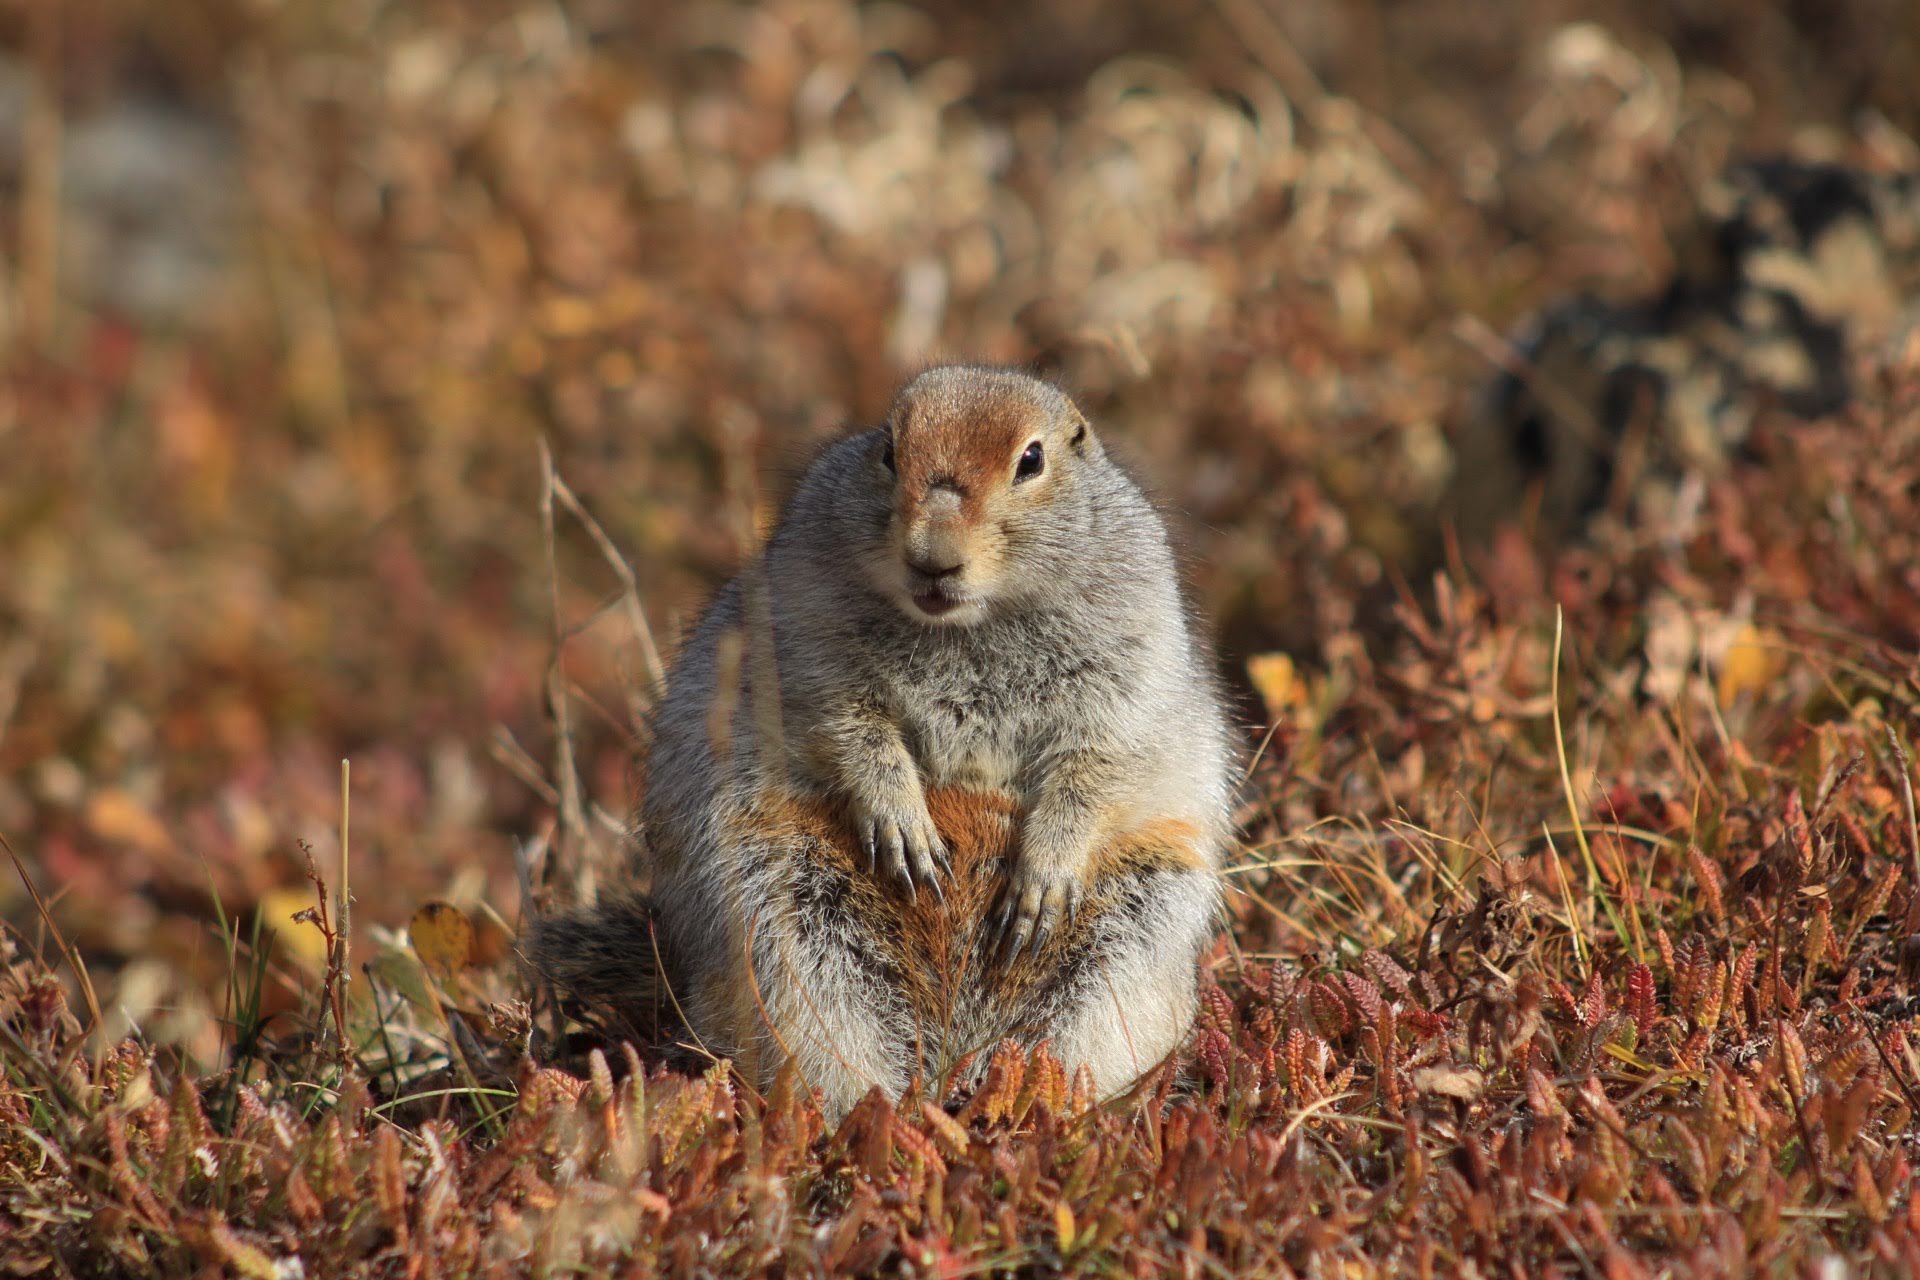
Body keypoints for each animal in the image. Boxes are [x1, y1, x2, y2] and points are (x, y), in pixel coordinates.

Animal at [533, 364, 1236, 1113]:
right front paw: (905, 831)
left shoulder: (1125, 668)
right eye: (889, 450)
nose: (932, 559)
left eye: (1032, 460)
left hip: (1123, 960)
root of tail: (955, 1054)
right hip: (792, 949)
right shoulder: (807, 644)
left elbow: (1097, 765)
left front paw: (1041, 878)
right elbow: (851, 731)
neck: (963, 629)